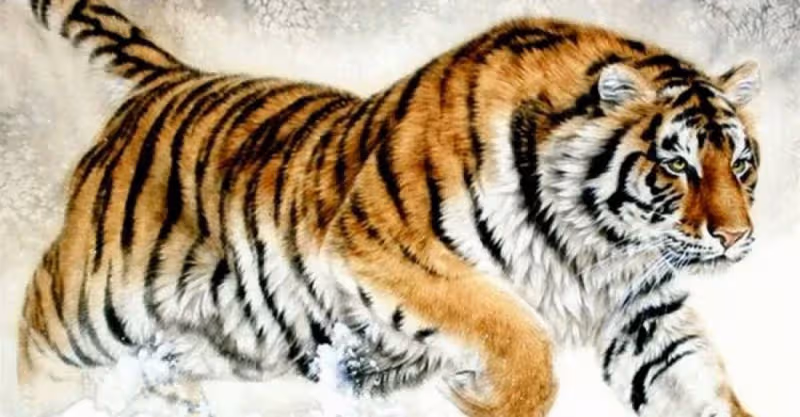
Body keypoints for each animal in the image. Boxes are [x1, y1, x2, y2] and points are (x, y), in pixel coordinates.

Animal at [16, 0, 761, 417]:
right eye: (676, 163)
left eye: (740, 162)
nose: (735, 237)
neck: (600, 244)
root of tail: (174, 78)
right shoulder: (387, 251)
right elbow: (514, 328)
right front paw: (484, 400)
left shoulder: (644, 313)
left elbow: (697, 385)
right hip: (88, 303)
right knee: (31, 337)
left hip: (229, 333)